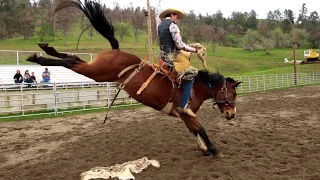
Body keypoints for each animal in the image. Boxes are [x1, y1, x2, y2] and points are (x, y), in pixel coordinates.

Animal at [26, 0, 241, 157]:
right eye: (233, 93)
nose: (232, 114)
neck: (196, 87)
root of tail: (116, 50)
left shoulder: (185, 116)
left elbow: (194, 131)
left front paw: (204, 149)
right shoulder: (186, 112)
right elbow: (201, 129)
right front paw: (214, 149)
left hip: (96, 69)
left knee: (74, 59)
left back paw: (46, 49)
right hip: (98, 72)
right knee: (72, 62)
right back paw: (38, 57)